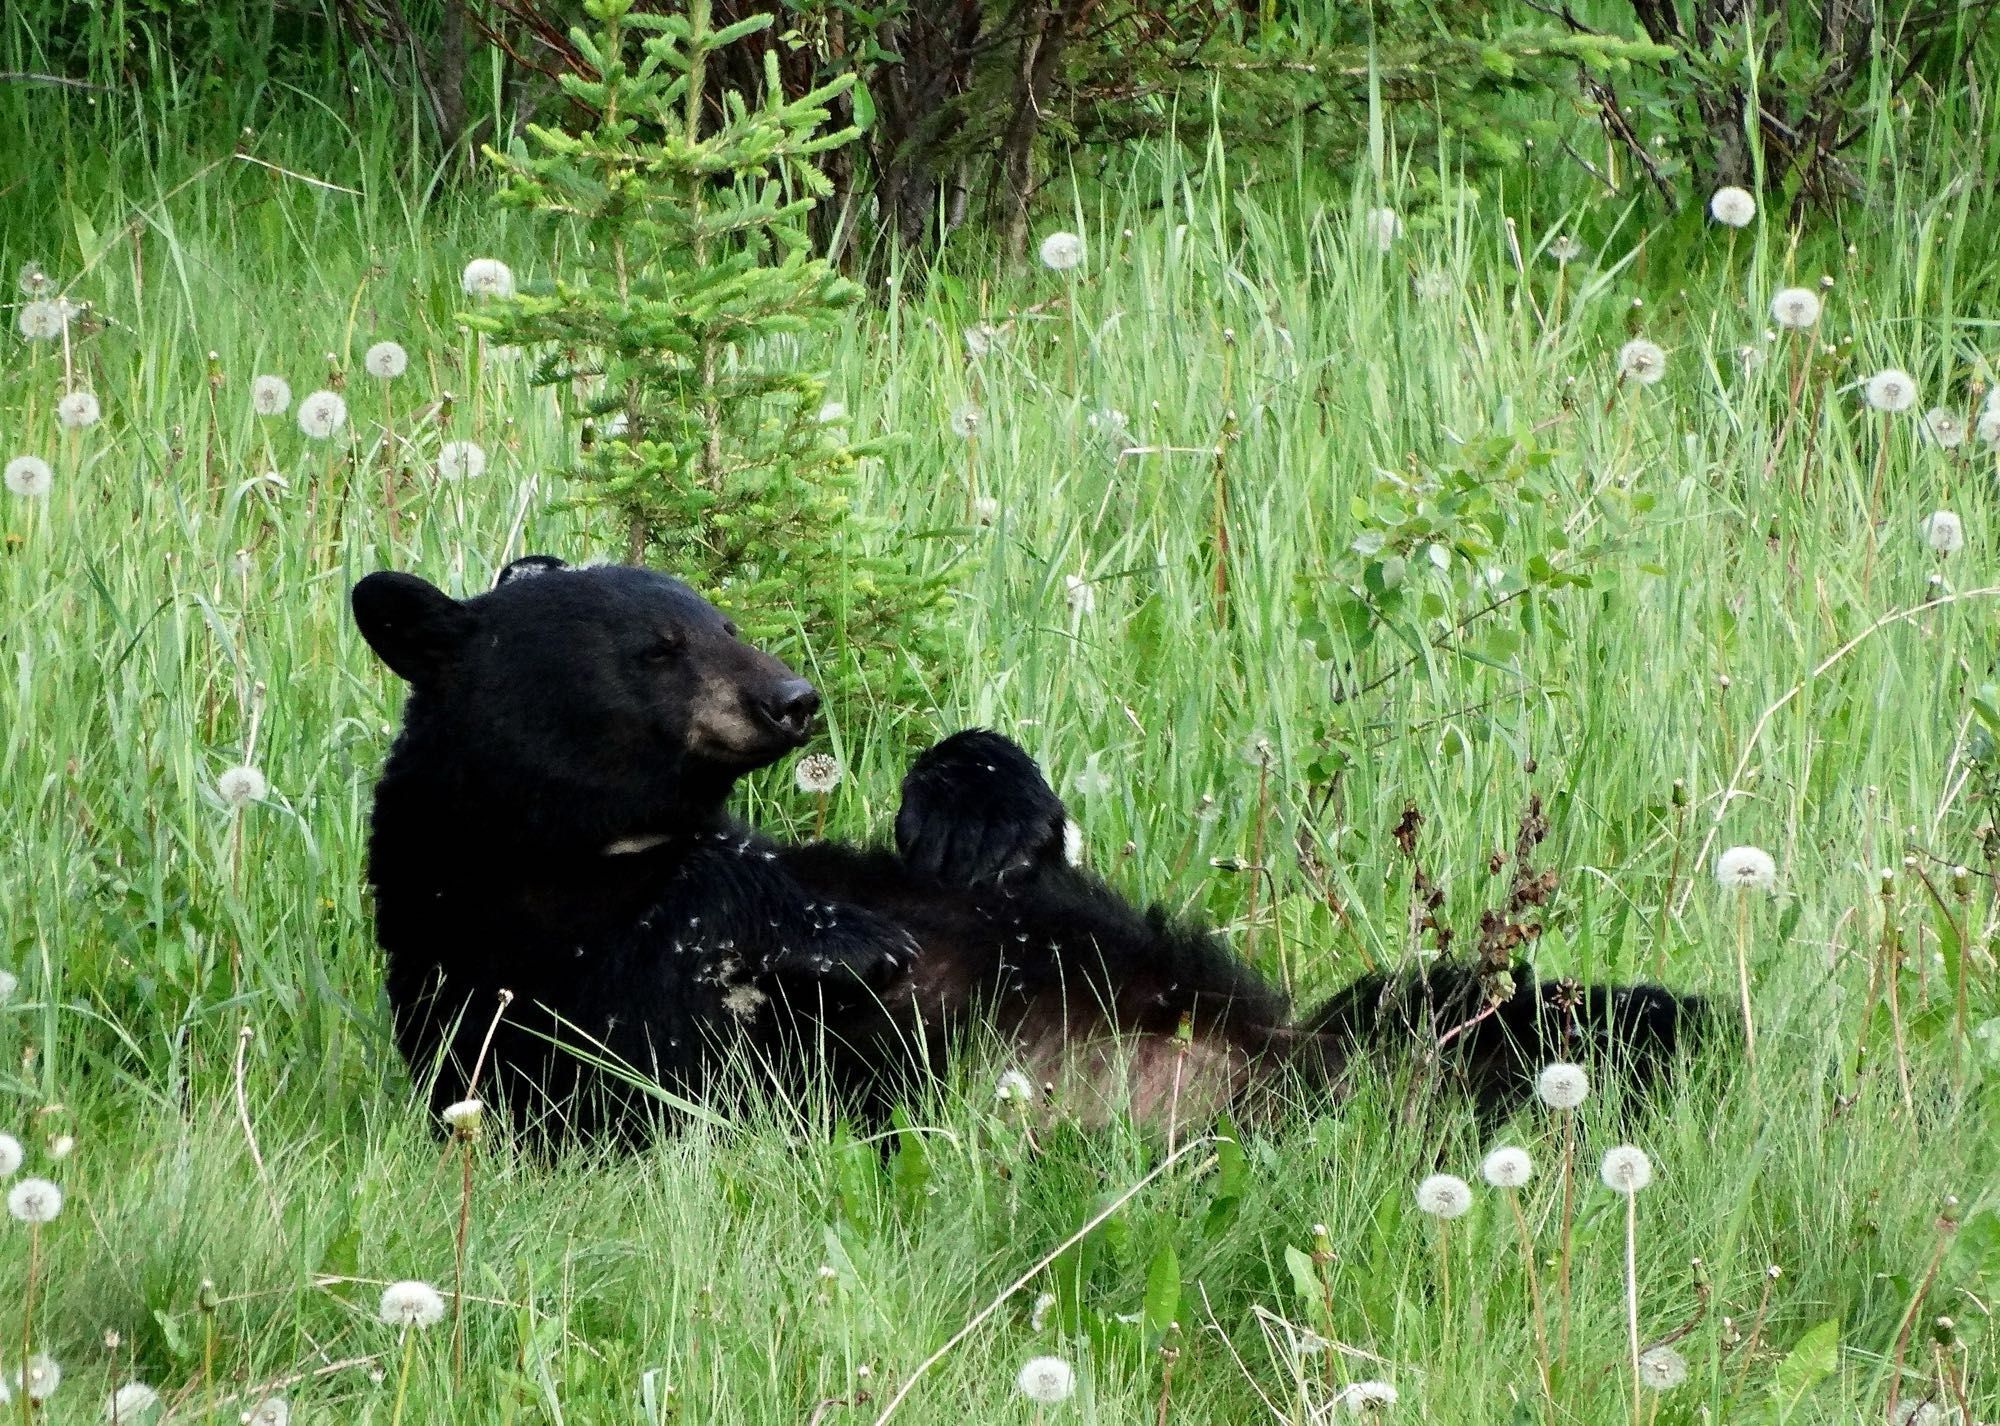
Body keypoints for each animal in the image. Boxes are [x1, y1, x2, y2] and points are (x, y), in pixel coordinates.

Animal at [356, 556, 1704, 1144]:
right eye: (655, 646)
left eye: (719, 615)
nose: (792, 698)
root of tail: (1280, 1082)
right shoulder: (504, 946)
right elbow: (652, 1007)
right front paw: (826, 932)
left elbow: (1010, 857)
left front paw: (967, 800)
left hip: (1350, 1027)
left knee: (1499, 1015)